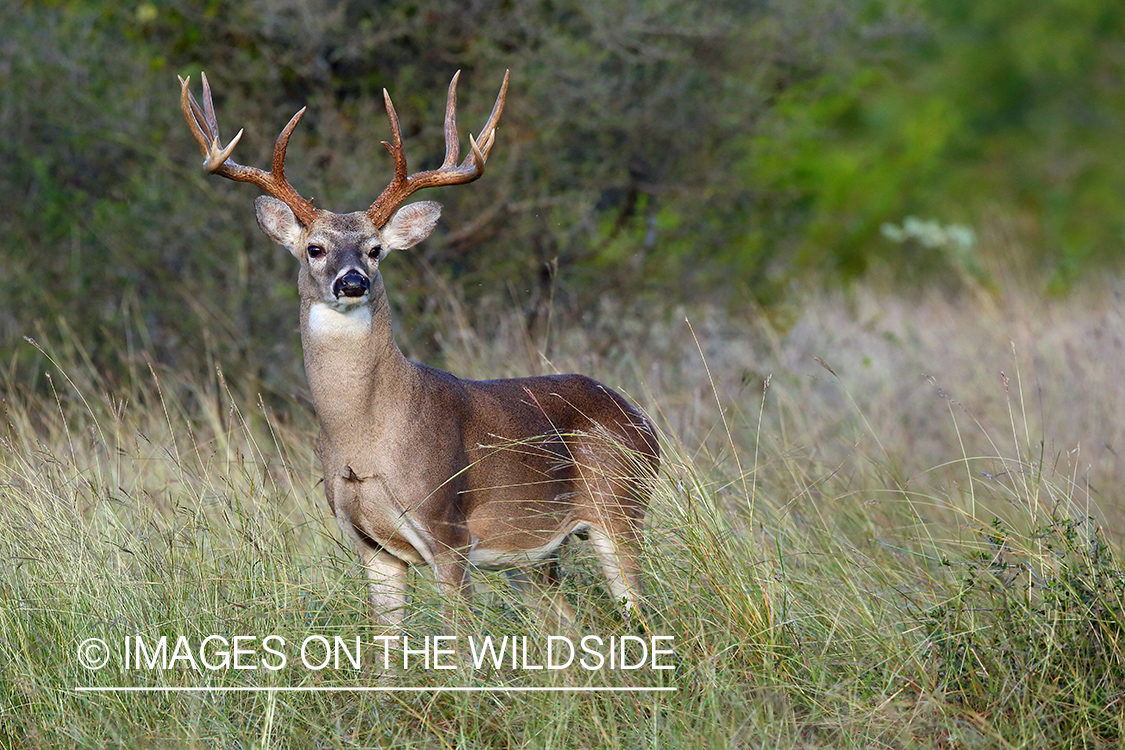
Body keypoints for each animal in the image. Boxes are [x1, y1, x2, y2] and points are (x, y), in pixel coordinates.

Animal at [177, 70, 657, 634]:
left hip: (619, 508)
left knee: (640, 609)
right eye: (315, 248)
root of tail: (641, 417)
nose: (353, 282)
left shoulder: (447, 529)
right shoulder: (371, 546)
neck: (366, 438)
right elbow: (385, 648)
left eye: (375, 249)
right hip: (536, 555)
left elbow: (458, 644)